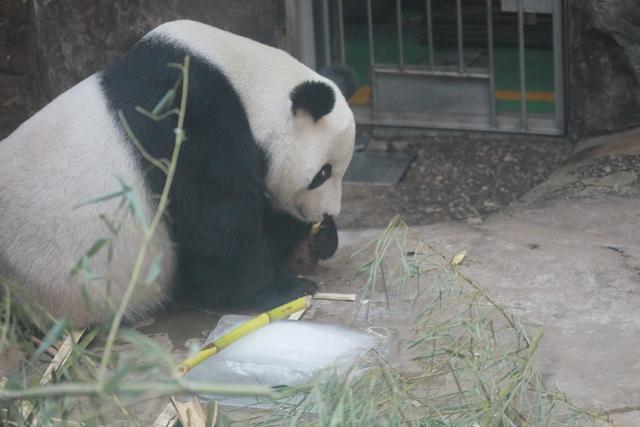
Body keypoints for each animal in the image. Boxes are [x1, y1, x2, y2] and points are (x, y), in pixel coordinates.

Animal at [0, 20, 356, 328]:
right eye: (322, 173)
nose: (327, 212)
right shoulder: (193, 119)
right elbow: (217, 223)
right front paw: (282, 288)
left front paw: (323, 237)